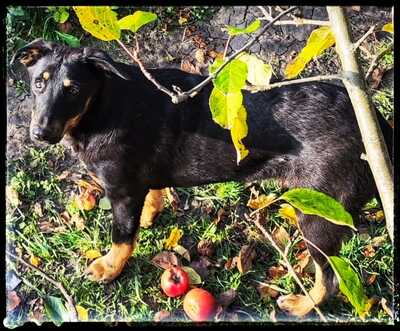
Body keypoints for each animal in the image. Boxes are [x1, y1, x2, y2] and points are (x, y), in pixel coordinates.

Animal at [11, 39, 390, 320]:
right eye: (38, 83)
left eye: (73, 90)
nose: (40, 134)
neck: (101, 106)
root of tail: (377, 126)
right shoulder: (138, 182)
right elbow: (152, 195)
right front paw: (149, 215)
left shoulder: (120, 191)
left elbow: (122, 238)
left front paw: (108, 268)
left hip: (318, 214)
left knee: (331, 277)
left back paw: (301, 305)